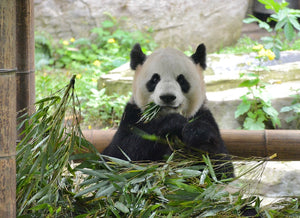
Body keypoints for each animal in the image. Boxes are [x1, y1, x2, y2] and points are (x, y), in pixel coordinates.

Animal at [103, 43, 234, 179]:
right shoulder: (133, 116)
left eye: (181, 80)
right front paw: (173, 122)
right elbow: (119, 156)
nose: (167, 97)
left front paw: (197, 132)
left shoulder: (202, 114)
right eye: (154, 79)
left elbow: (221, 167)